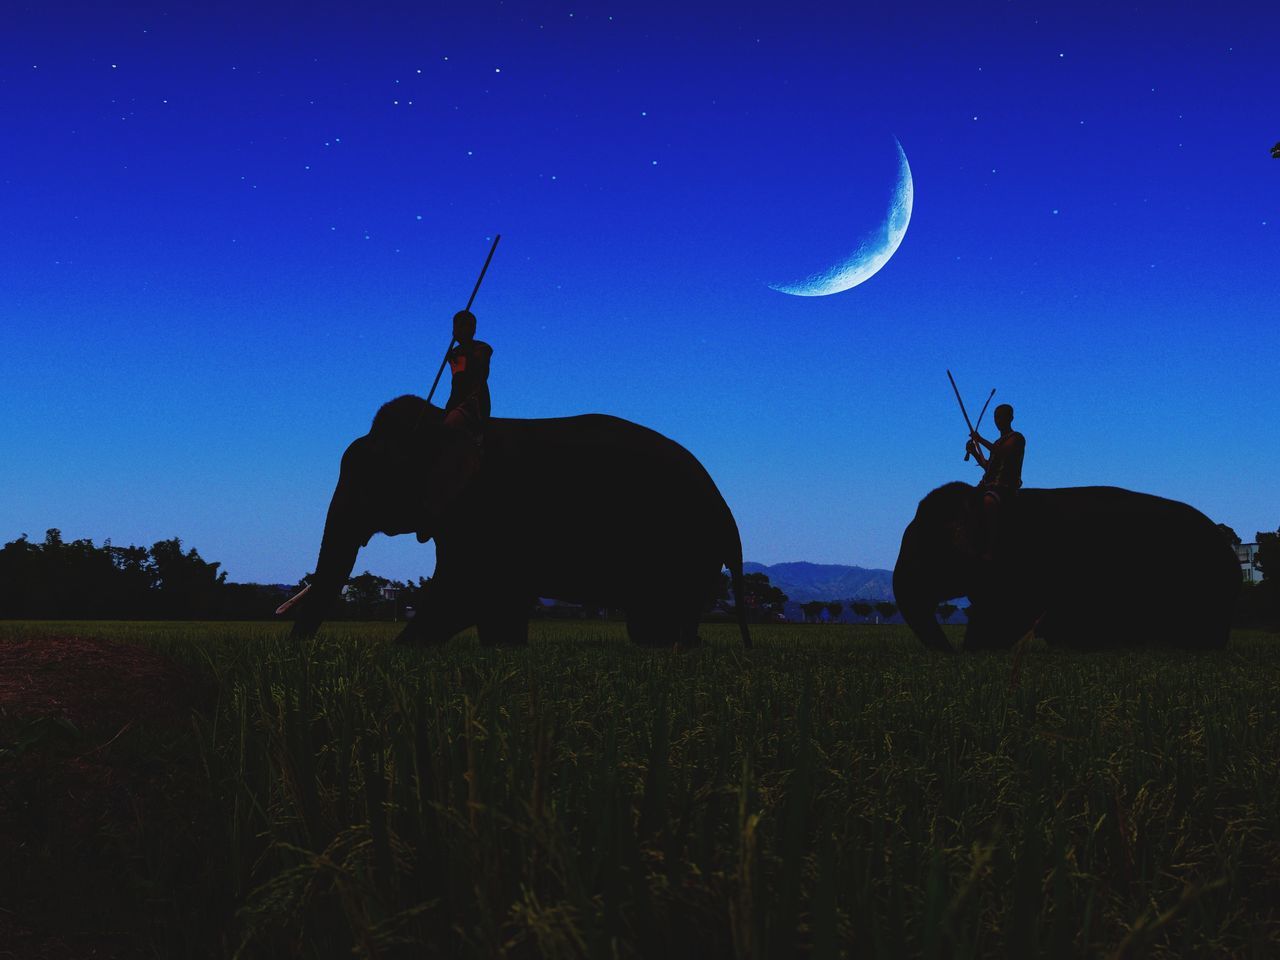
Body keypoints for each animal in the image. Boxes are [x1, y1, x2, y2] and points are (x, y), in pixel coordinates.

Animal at [286, 394, 752, 650]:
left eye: (370, 480)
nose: (299, 653)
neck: (442, 422)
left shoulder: (488, 513)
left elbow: (467, 591)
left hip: (685, 544)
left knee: (658, 618)